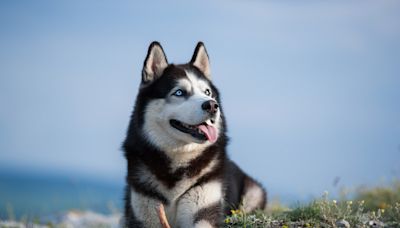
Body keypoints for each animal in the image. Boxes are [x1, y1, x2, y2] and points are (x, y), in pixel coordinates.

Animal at [122, 41, 266, 227]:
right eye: (179, 92)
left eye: (207, 92)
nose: (212, 105)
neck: (178, 161)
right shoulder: (144, 211)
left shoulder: (204, 206)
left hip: (254, 193)